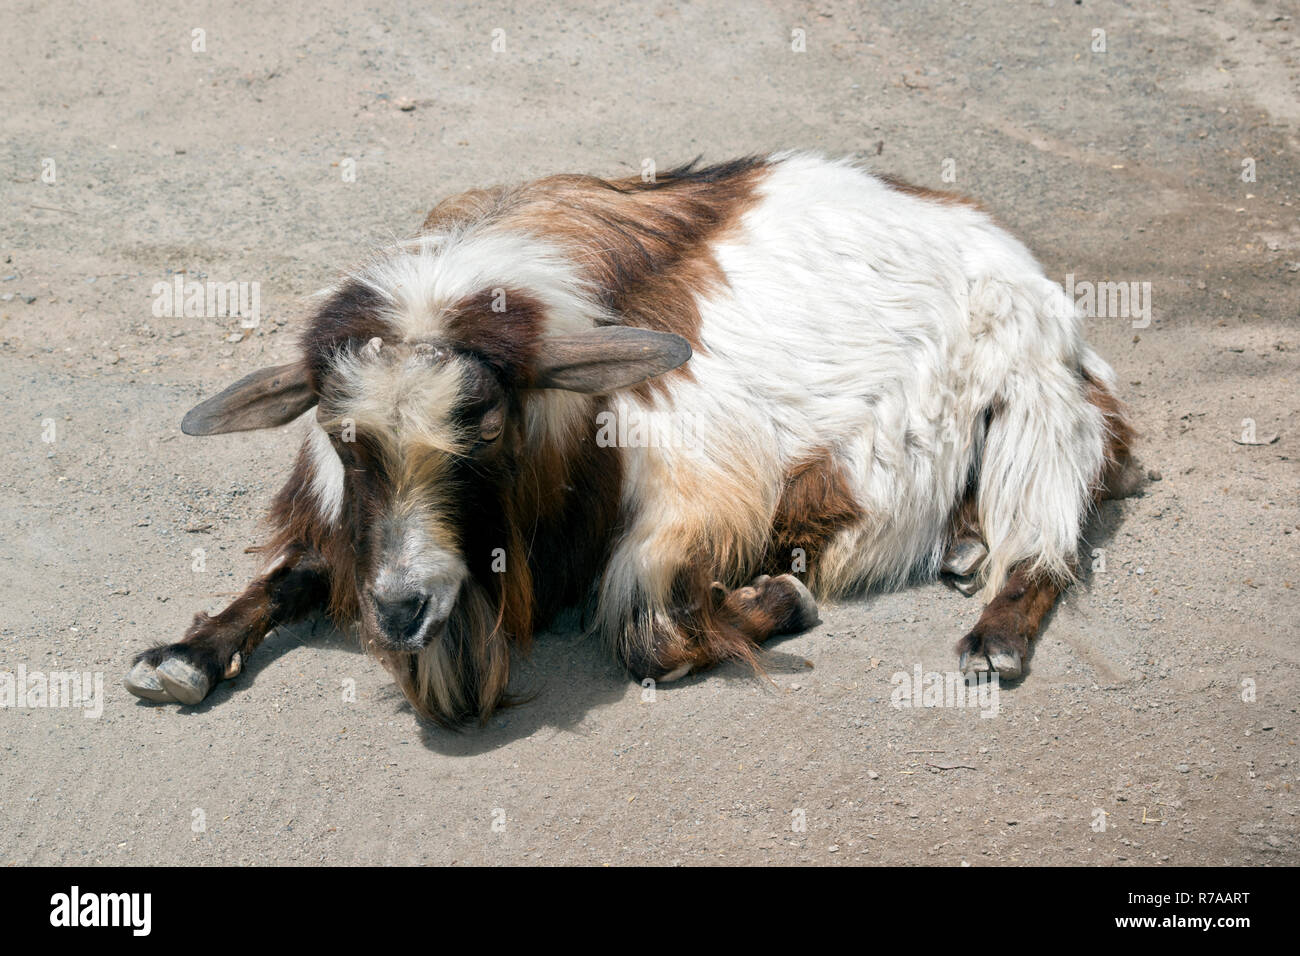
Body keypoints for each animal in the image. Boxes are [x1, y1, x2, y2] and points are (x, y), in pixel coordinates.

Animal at [126, 151, 1133, 723]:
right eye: (343, 439)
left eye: (484, 425)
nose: (405, 609)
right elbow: (295, 570)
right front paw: (182, 656)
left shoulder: (692, 492)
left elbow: (647, 636)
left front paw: (779, 600)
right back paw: (962, 547)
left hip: (1038, 400)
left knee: (1045, 536)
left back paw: (994, 632)